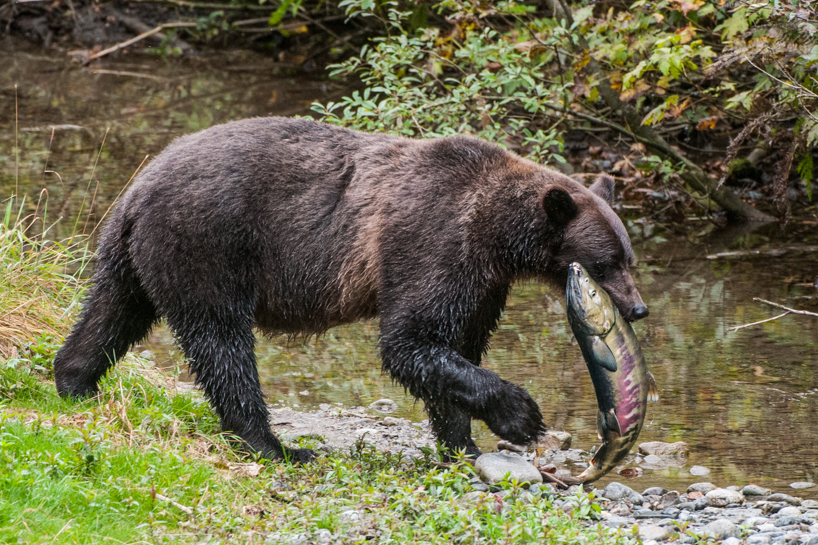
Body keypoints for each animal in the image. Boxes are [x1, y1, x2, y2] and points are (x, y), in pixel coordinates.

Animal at [54, 117, 648, 462]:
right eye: (605, 264)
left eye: (629, 258)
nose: (638, 308)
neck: (497, 236)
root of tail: (139, 187)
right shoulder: (432, 241)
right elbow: (411, 340)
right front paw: (520, 415)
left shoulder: (483, 283)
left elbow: (455, 346)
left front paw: (461, 441)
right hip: (208, 243)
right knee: (221, 341)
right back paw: (274, 444)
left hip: (133, 254)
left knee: (113, 312)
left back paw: (75, 381)